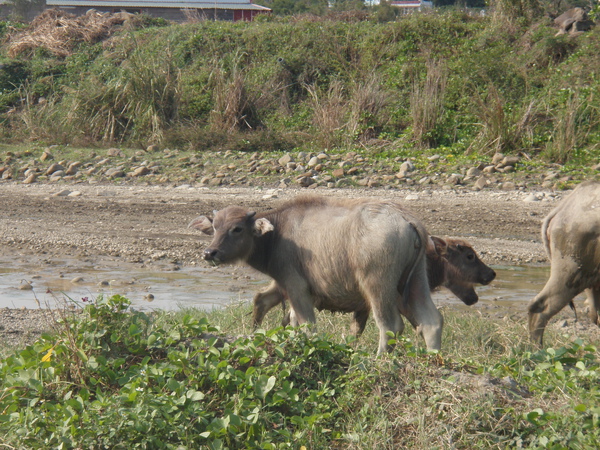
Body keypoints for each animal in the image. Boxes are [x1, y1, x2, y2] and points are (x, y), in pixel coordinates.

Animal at [190, 197, 442, 356]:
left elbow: (307, 326)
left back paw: (379, 359)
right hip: (417, 280)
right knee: (431, 321)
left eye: (237, 228)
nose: (209, 253)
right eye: (215, 227)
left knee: (390, 325)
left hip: (377, 285)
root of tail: (406, 218)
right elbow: (292, 323)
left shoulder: (296, 287)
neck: (277, 235)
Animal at [251, 236, 494, 334]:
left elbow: (354, 332)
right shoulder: (400, 303)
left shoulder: (363, 307)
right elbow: (417, 327)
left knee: (261, 299)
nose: (491, 273)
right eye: (470, 256)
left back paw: (255, 332)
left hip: (281, 286)